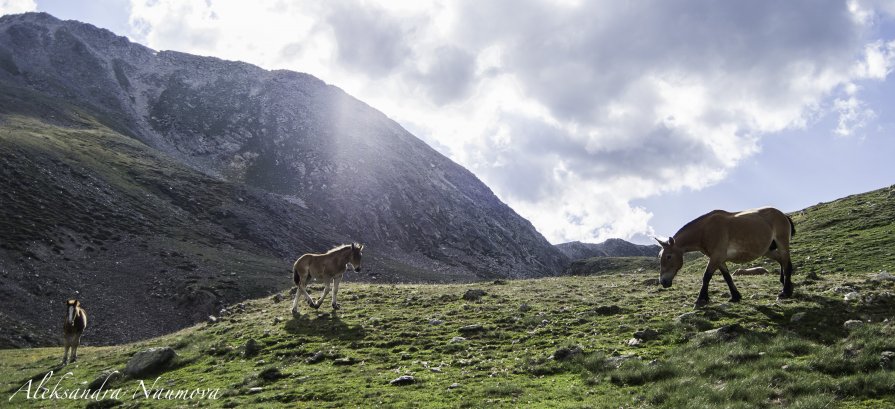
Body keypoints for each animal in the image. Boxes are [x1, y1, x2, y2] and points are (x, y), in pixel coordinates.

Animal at [656, 207, 796, 306]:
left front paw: (701, 299)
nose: (663, 282)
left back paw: (785, 292)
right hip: (768, 250)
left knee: (787, 264)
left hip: (782, 244)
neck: (705, 230)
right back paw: (786, 285)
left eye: (668, 256)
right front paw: (735, 296)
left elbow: (706, 276)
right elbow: (727, 277)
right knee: (782, 261)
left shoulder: (716, 257)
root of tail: (783, 215)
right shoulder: (719, 259)